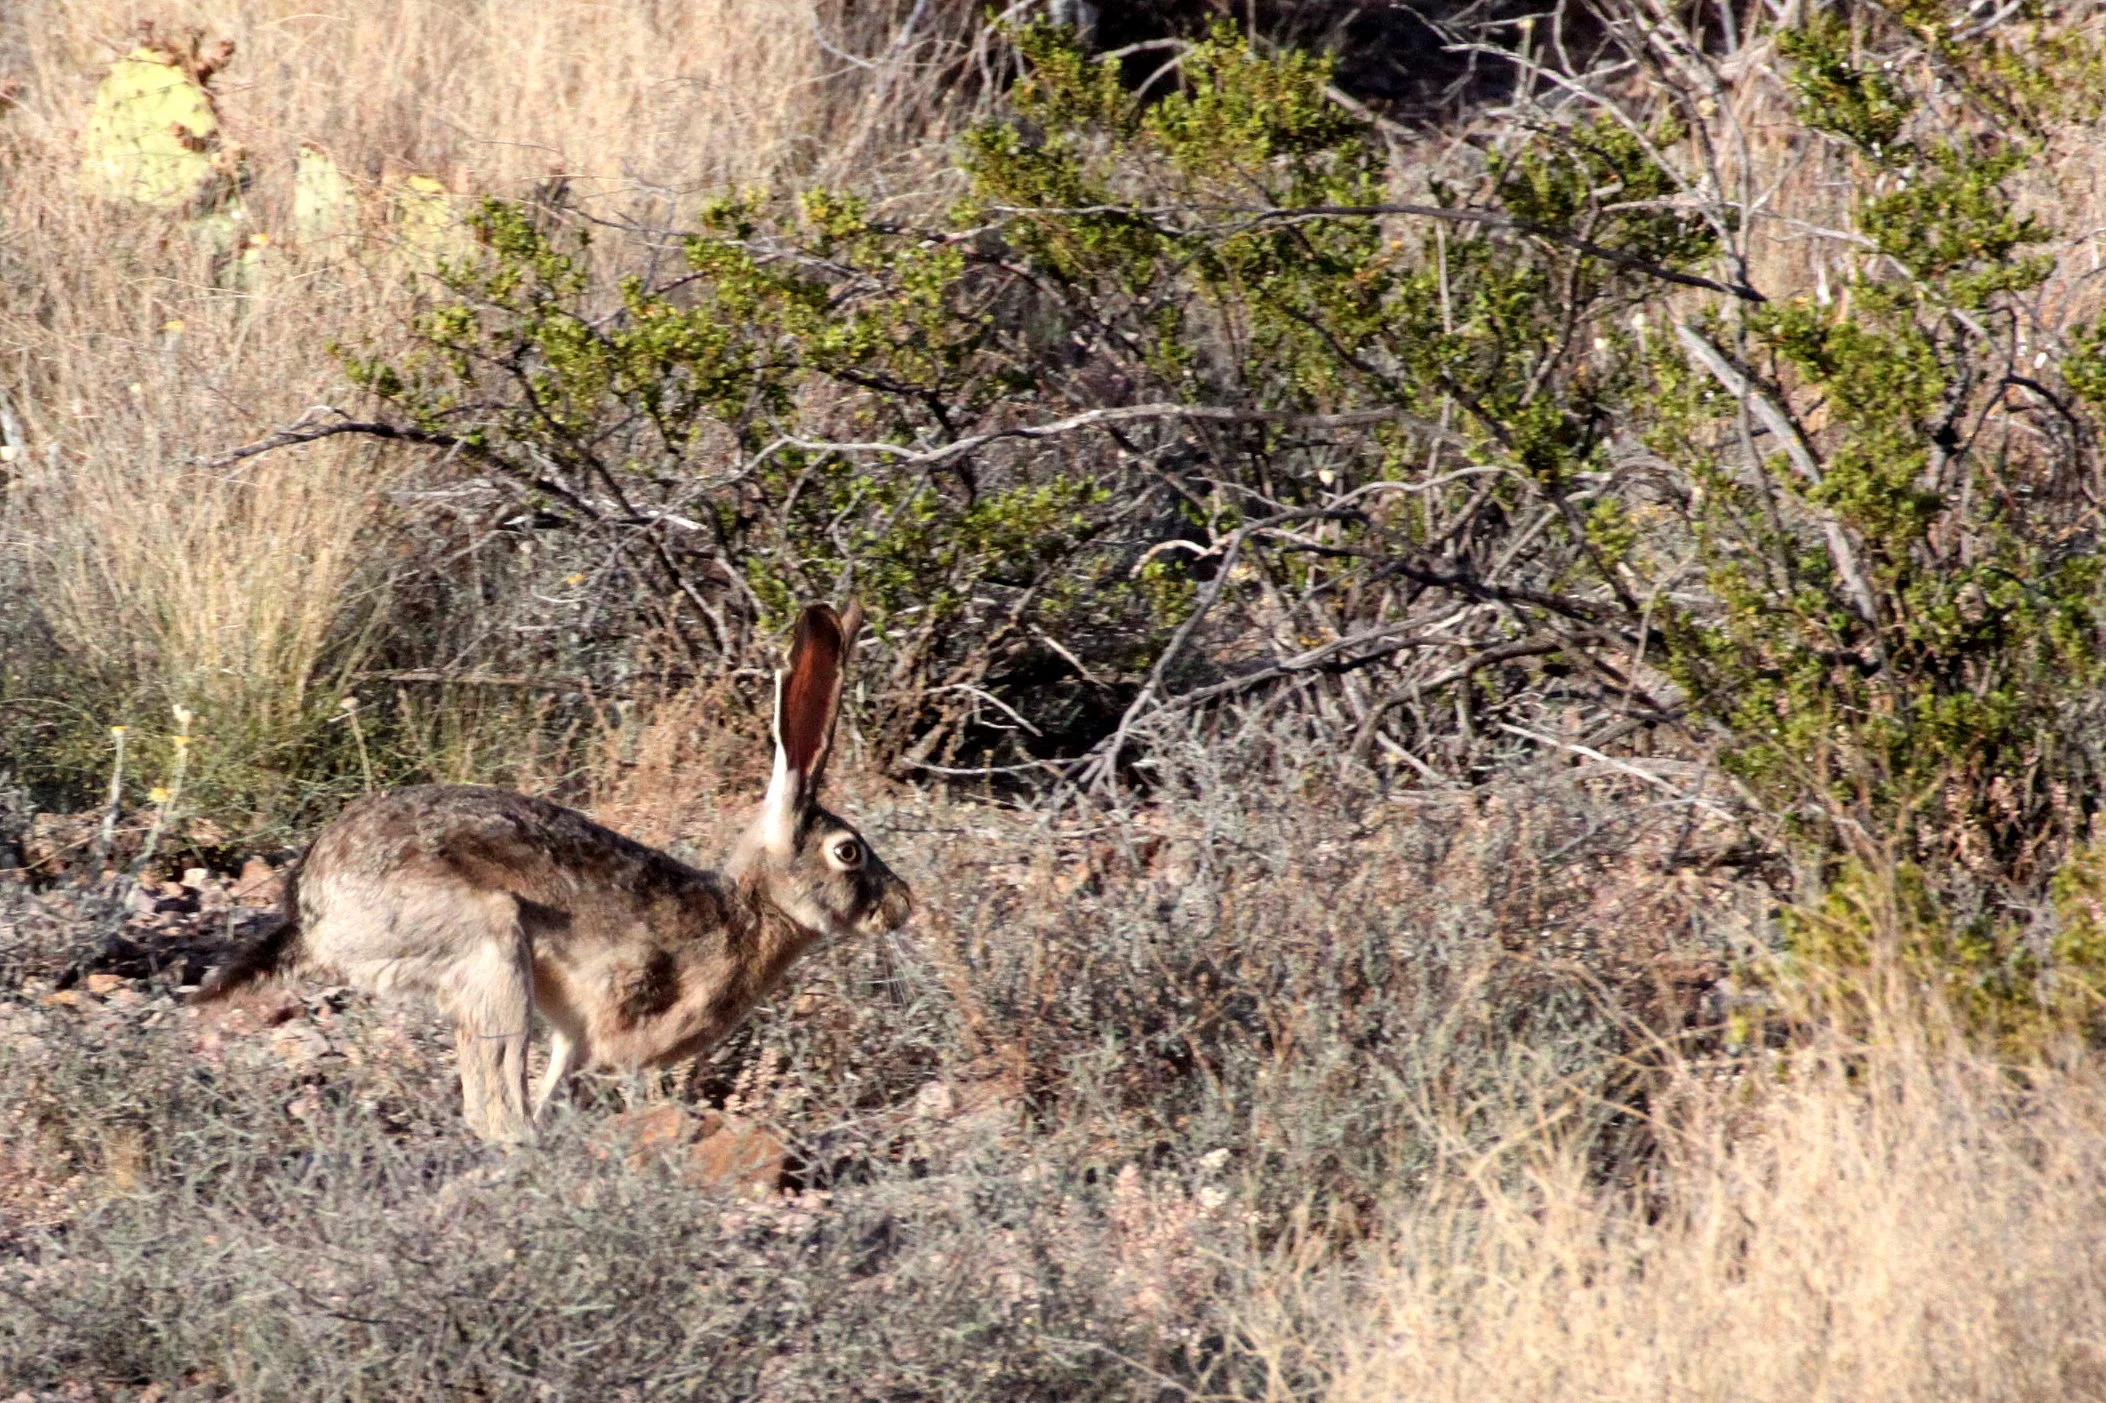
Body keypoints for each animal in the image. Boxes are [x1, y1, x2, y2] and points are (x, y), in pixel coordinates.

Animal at [194, 601, 910, 1143]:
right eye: (848, 852)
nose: (902, 905)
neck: (749, 907)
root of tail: (311, 910)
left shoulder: (577, 1038)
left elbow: (561, 1076)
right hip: (490, 949)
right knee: (492, 1107)